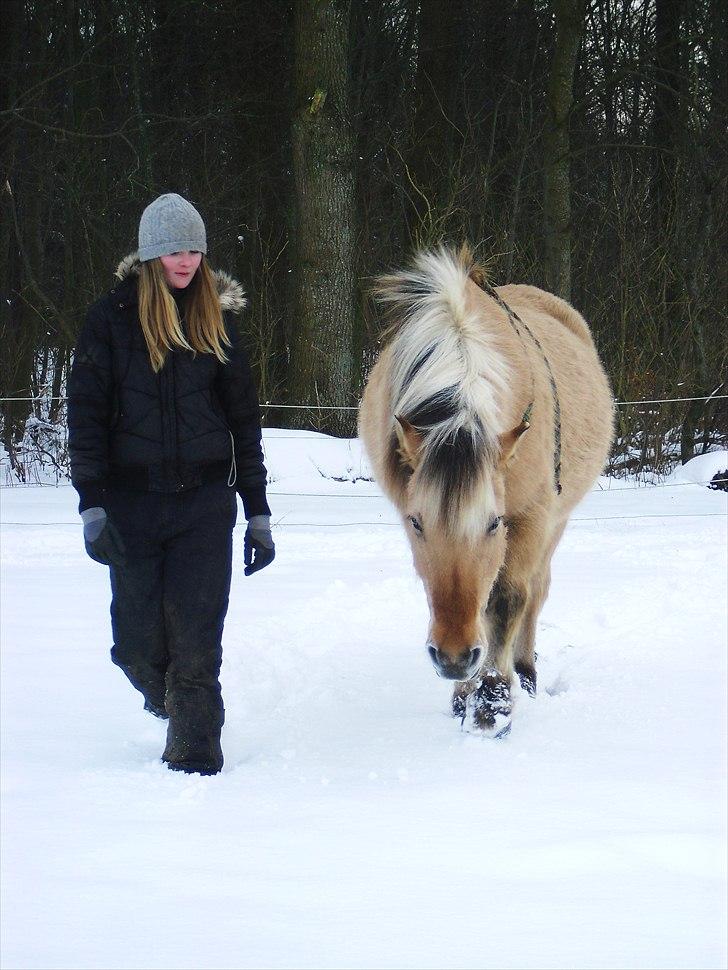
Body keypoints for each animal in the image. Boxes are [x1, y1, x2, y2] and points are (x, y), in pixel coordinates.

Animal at [358, 244, 616, 732]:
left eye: (494, 523)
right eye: (416, 522)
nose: (454, 658)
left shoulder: (529, 517)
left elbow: (507, 601)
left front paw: (493, 701)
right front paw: (465, 695)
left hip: (556, 523)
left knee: (536, 591)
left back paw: (526, 675)